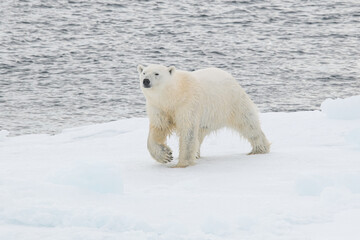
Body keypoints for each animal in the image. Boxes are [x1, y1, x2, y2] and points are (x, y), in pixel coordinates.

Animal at [138, 64, 270, 168]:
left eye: (156, 73)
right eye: (144, 72)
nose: (146, 80)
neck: (174, 95)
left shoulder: (188, 104)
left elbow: (188, 131)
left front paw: (181, 164)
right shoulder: (159, 107)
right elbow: (158, 128)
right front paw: (165, 155)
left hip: (232, 102)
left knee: (248, 124)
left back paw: (259, 149)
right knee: (199, 134)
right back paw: (196, 155)